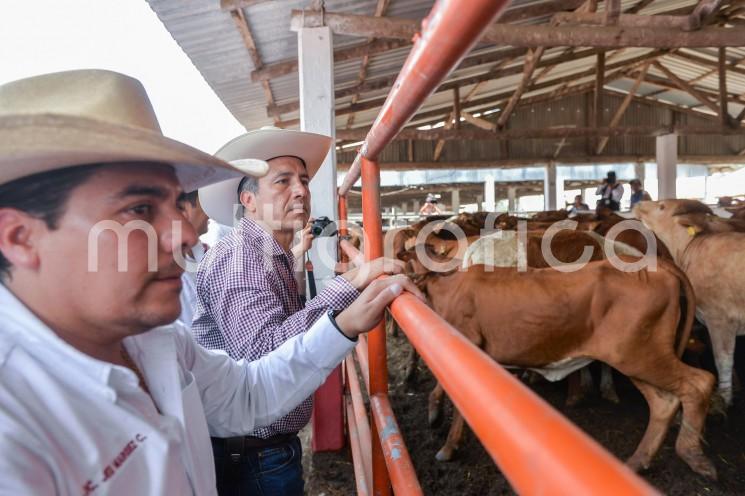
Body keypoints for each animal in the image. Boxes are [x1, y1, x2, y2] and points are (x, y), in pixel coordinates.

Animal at [402, 250, 716, 478]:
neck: (449, 286)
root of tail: (657, 265)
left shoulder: (467, 346)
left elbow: (456, 399)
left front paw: (447, 445)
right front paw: (435, 416)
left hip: (639, 355)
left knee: (699, 383)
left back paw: (693, 455)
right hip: (638, 358)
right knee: (664, 403)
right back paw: (637, 462)